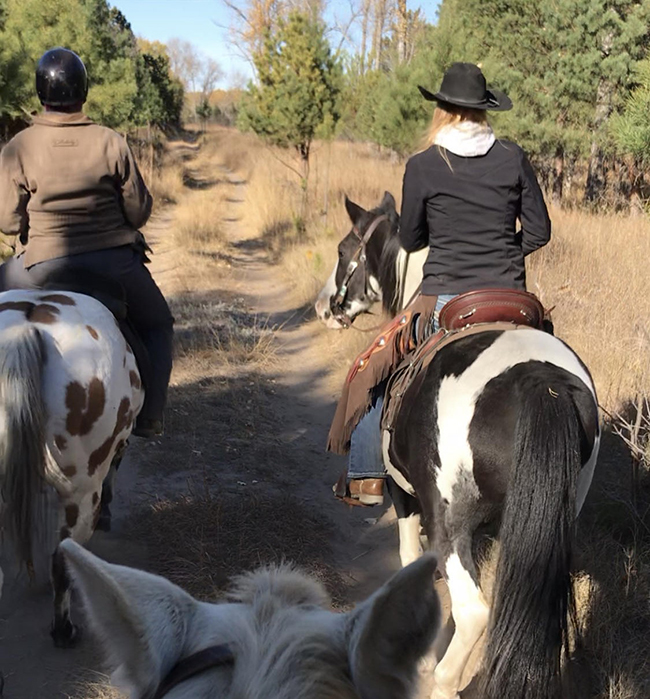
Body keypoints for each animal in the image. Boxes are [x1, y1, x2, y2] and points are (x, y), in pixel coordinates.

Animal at [316, 194, 600, 699]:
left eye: (344, 249)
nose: (326, 308)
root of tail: (539, 380)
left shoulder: (405, 495)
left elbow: (411, 560)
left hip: (449, 518)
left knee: (474, 612)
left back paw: (444, 681)